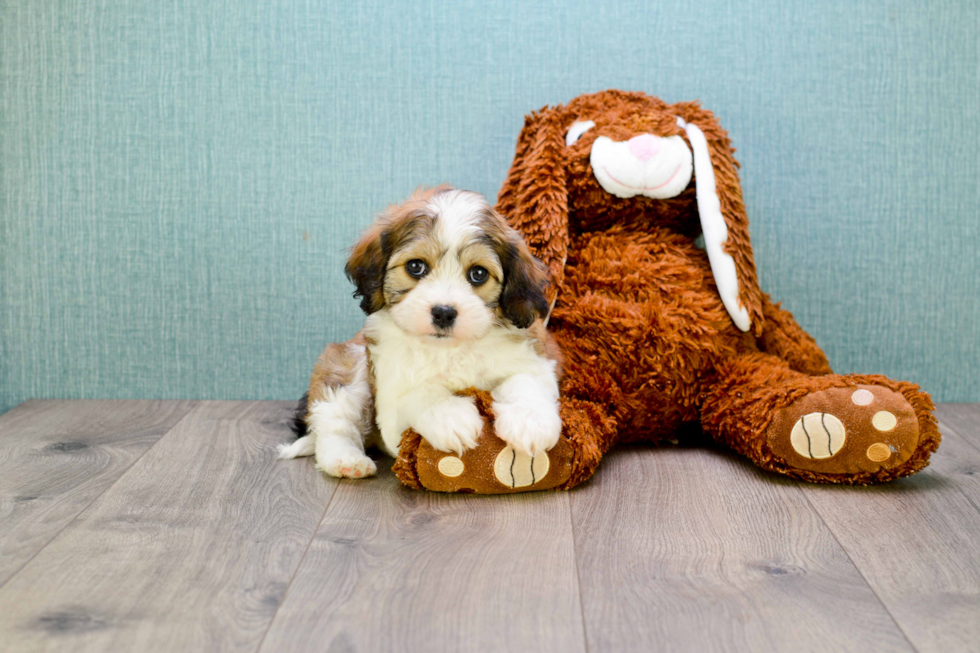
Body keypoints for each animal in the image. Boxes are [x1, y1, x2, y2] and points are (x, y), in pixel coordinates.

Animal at [280, 186, 564, 476]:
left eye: (479, 274)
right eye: (415, 267)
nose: (444, 312)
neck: (450, 349)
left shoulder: (536, 358)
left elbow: (524, 379)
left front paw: (530, 421)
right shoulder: (390, 402)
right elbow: (417, 392)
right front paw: (451, 417)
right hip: (349, 364)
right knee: (336, 423)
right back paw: (347, 460)